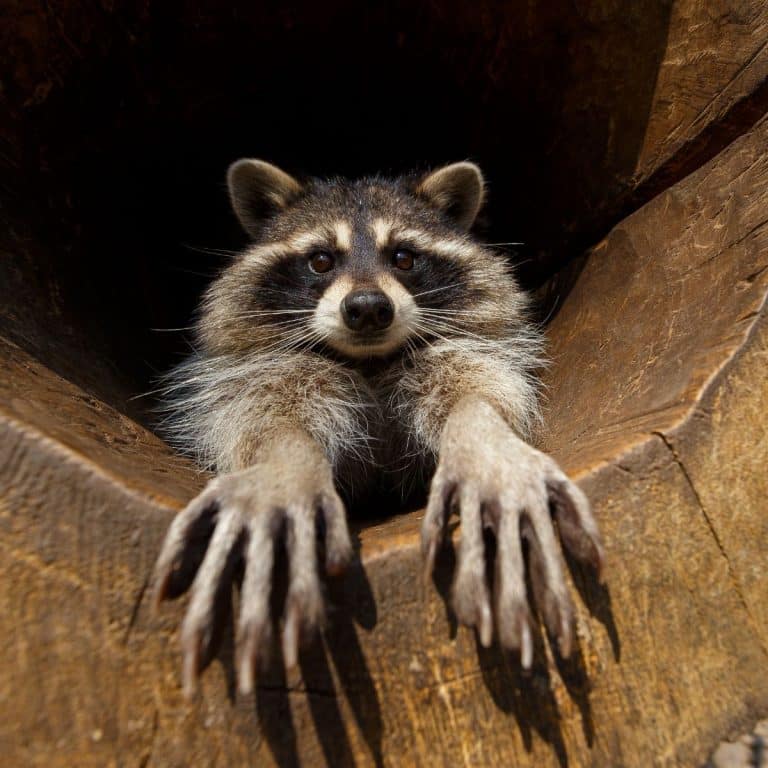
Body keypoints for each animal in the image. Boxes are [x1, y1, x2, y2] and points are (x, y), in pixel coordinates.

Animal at [151, 159, 605, 696]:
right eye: (321, 260)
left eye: (404, 257)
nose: (368, 306)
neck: (368, 362)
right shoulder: (253, 374)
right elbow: (265, 415)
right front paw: (284, 466)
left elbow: (477, 390)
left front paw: (484, 443)